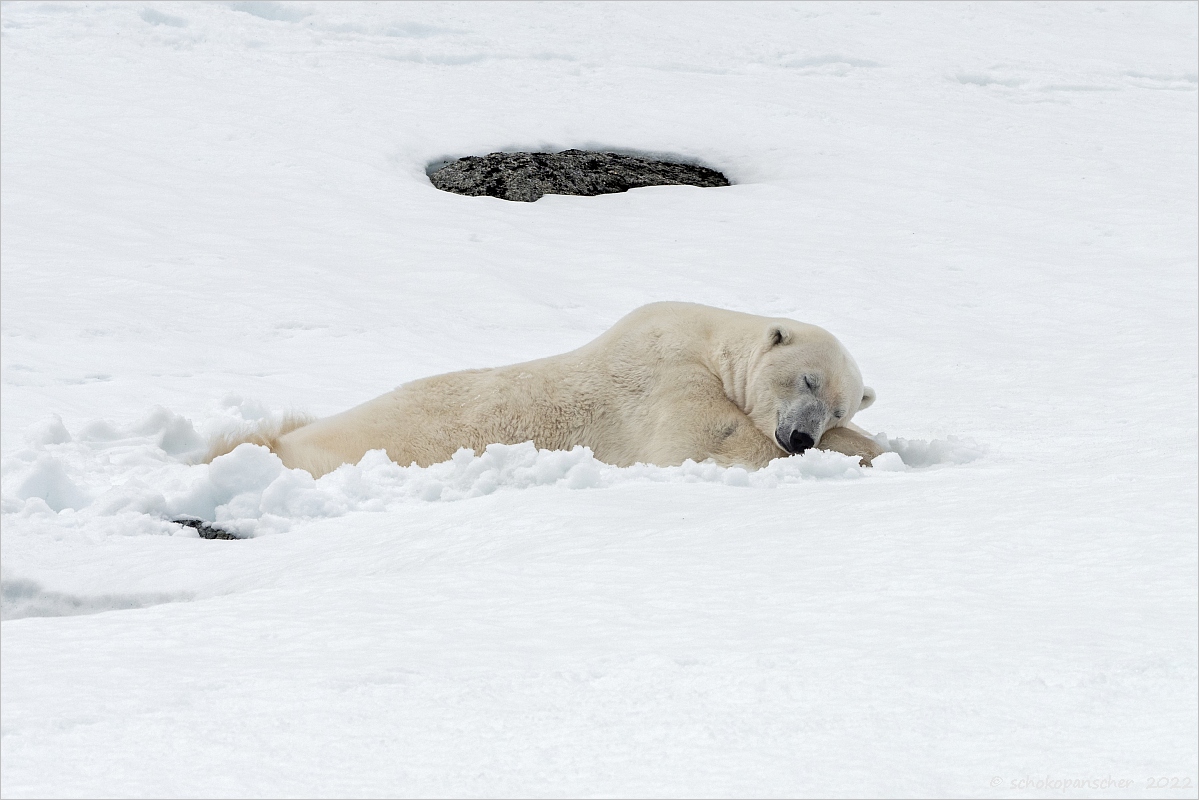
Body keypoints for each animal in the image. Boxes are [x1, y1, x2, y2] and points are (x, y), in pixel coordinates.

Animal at [208, 299, 882, 474]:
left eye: (838, 404)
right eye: (807, 378)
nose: (801, 436)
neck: (708, 343)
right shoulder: (664, 377)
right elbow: (703, 442)